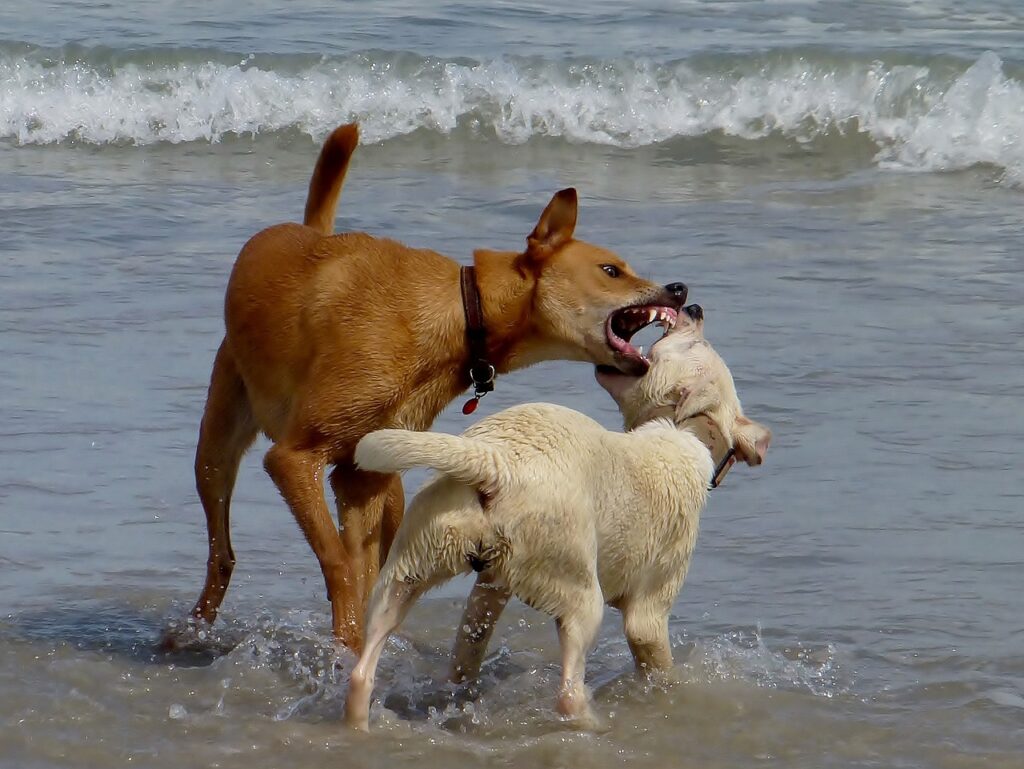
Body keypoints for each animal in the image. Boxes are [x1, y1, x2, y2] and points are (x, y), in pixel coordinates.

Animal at [182, 123, 688, 651]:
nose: (680, 289)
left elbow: (361, 569)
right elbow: (339, 563)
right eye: (612, 271)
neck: (462, 313)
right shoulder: (293, 458)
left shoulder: (358, 479)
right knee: (222, 553)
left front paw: (354, 650)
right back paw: (186, 633)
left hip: (389, 483)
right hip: (216, 449)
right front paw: (345, 647)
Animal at [344, 303, 770, 729]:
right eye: (700, 344)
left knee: (367, 670)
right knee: (568, 693)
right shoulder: (649, 614)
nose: (694, 308)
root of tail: (496, 462)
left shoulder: (493, 583)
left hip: (413, 562)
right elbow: (660, 667)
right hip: (580, 592)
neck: (688, 430)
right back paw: (595, 724)